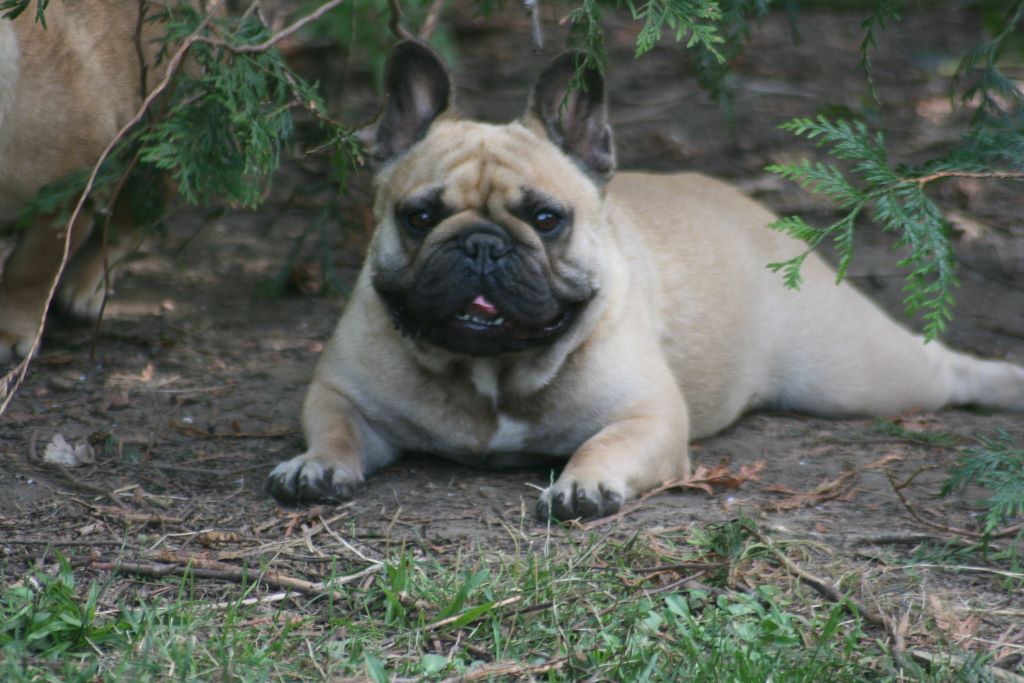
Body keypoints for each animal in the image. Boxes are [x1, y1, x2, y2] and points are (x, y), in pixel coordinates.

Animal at [268, 40, 1024, 520]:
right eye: (419, 216)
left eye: (546, 219)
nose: (481, 246)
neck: (490, 371)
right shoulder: (340, 391)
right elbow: (334, 428)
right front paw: (316, 465)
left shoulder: (650, 416)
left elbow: (603, 442)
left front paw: (584, 483)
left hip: (857, 376)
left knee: (942, 368)